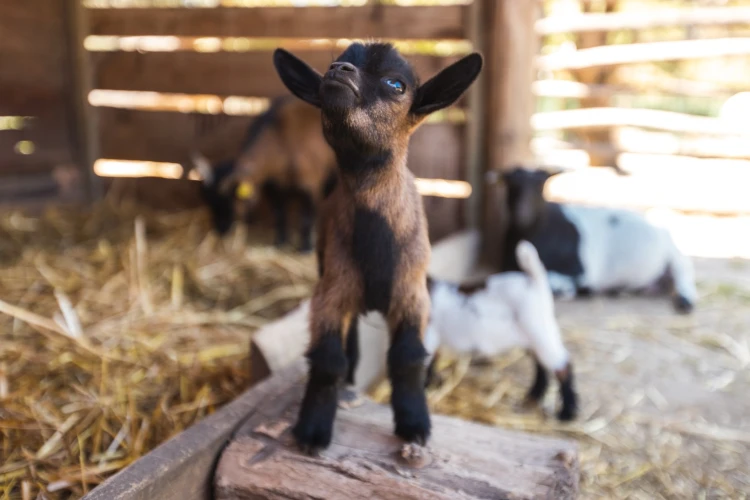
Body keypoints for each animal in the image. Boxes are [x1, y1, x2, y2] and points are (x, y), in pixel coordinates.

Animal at [194, 97, 338, 252]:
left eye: (228, 203)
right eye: (209, 203)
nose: (220, 230)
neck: (282, 142)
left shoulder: (310, 188)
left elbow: (306, 219)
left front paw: (306, 247)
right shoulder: (273, 188)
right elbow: (279, 215)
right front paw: (280, 242)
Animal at [274, 42, 482, 450]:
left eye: (395, 84)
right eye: (332, 65)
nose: (338, 70)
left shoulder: (412, 295)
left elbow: (407, 358)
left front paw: (415, 425)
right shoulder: (331, 293)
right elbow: (328, 361)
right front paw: (313, 430)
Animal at [426, 240, 580, 420]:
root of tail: (535, 282)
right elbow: (433, 362)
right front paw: (433, 383)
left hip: (541, 332)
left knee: (562, 366)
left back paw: (567, 413)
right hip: (532, 336)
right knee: (540, 364)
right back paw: (534, 394)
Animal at [500, 168, 700, 316]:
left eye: (541, 185)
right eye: (511, 184)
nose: (522, 213)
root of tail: (661, 230)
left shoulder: (580, 271)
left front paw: (569, 290)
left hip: (675, 257)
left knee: (684, 272)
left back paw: (685, 301)